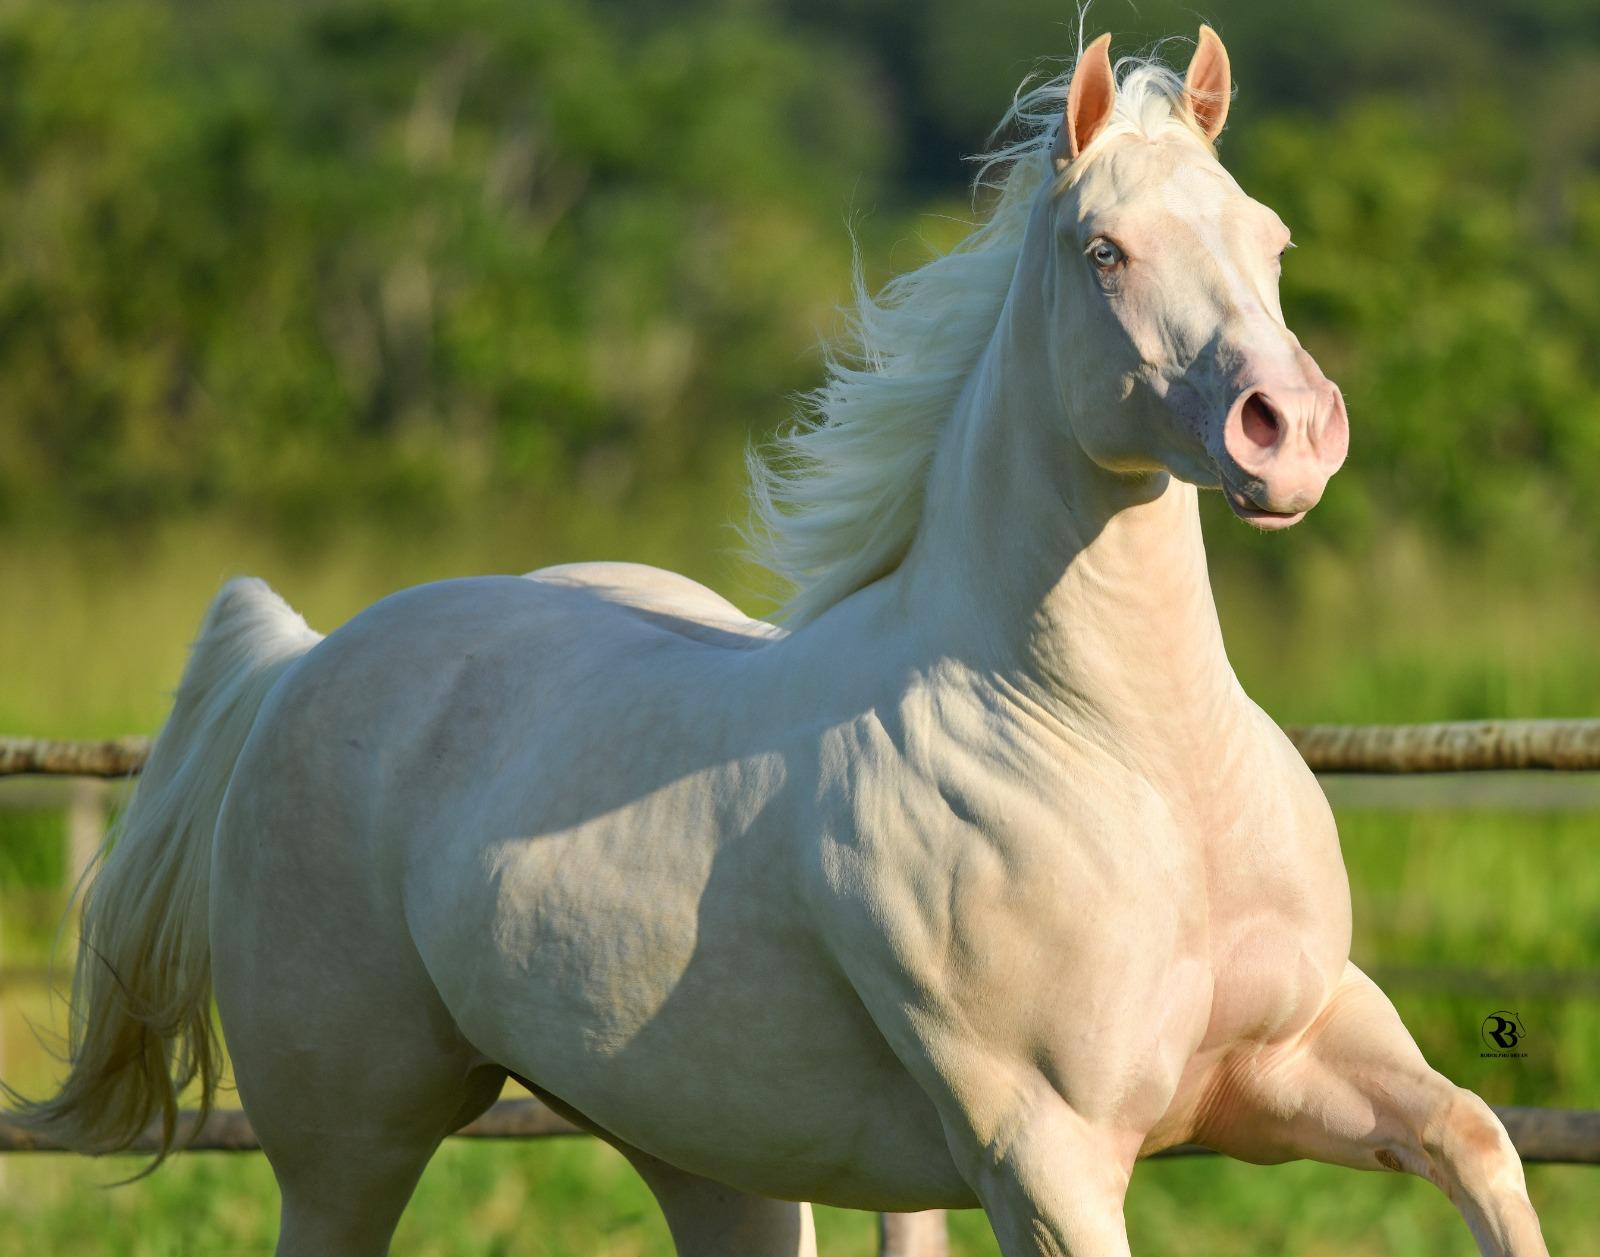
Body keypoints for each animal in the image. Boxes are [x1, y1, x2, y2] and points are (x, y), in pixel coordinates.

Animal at [6, 29, 1542, 1253]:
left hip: (708, 1157)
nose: (1290, 435)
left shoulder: (1295, 1058)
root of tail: (302, 666)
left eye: (1270, 239)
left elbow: (1480, 1143)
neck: (1127, 750)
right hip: (348, 1144)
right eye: (1102, 250)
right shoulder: (1048, 1153)